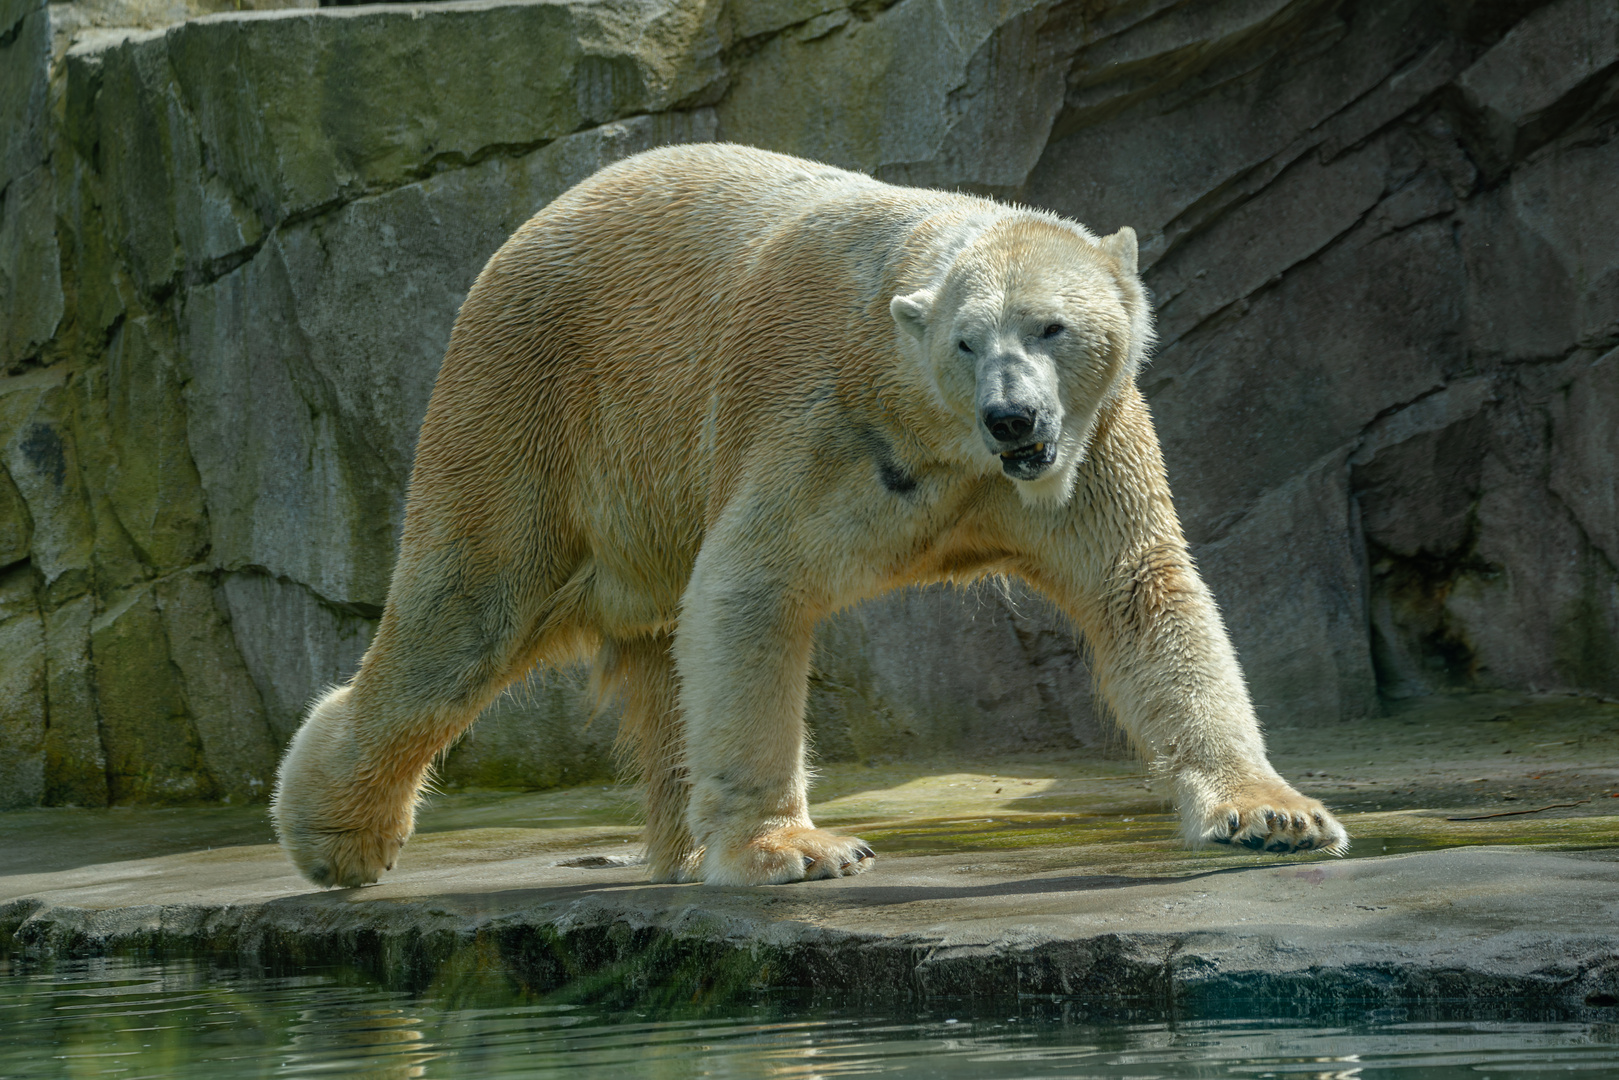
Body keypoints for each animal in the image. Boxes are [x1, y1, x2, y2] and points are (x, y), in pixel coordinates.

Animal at [271, 143, 1347, 887]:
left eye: (1051, 326)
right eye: (966, 340)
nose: (1013, 416)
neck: (932, 433)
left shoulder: (1090, 452)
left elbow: (1142, 597)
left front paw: (1273, 815)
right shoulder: (815, 421)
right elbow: (748, 590)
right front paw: (796, 848)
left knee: (643, 649)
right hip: (532, 406)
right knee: (463, 619)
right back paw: (335, 837)